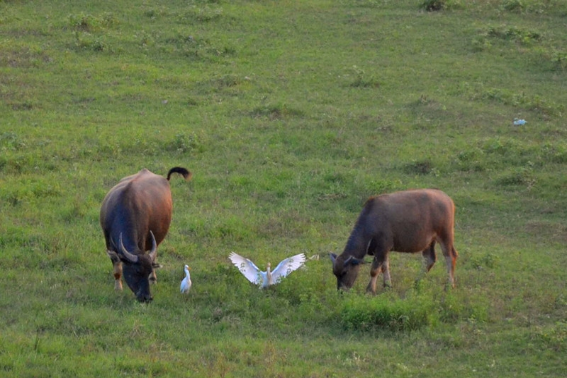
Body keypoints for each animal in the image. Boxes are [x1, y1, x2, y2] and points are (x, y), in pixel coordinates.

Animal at [101, 167, 192, 302]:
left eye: (148, 271)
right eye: (137, 271)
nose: (147, 297)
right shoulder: (108, 241)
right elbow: (117, 269)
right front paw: (118, 288)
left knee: (154, 254)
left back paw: (154, 279)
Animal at [330, 190, 460, 294]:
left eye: (345, 272)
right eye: (335, 273)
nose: (341, 292)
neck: (371, 221)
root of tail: (447, 199)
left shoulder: (382, 248)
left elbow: (374, 270)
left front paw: (370, 290)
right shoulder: (384, 251)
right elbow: (385, 267)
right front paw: (387, 286)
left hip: (445, 236)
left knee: (450, 256)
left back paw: (449, 286)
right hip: (429, 242)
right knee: (429, 259)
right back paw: (417, 283)